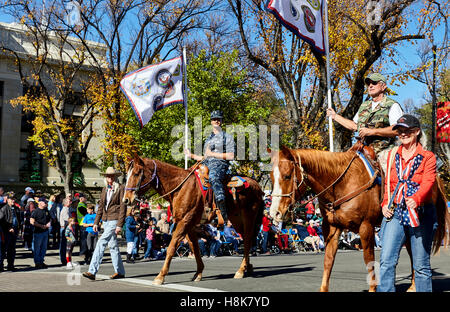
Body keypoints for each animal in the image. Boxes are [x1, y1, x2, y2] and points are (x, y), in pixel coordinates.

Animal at [121, 156, 266, 286]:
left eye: (136, 173)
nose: (126, 199)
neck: (180, 188)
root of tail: (257, 186)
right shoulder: (189, 225)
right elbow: (194, 247)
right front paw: (198, 273)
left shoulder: (184, 222)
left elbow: (172, 247)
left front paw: (160, 276)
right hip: (236, 219)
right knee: (247, 239)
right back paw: (247, 266)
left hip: (248, 217)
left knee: (247, 240)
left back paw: (241, 270)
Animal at [268, 145, 448, 292]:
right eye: (270, 177)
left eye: (286, 176)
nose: (274, 213)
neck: (342, 184)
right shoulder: (332, 228)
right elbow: (328, 261)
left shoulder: (366, 227)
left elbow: (369, 260)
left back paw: (413, 286)